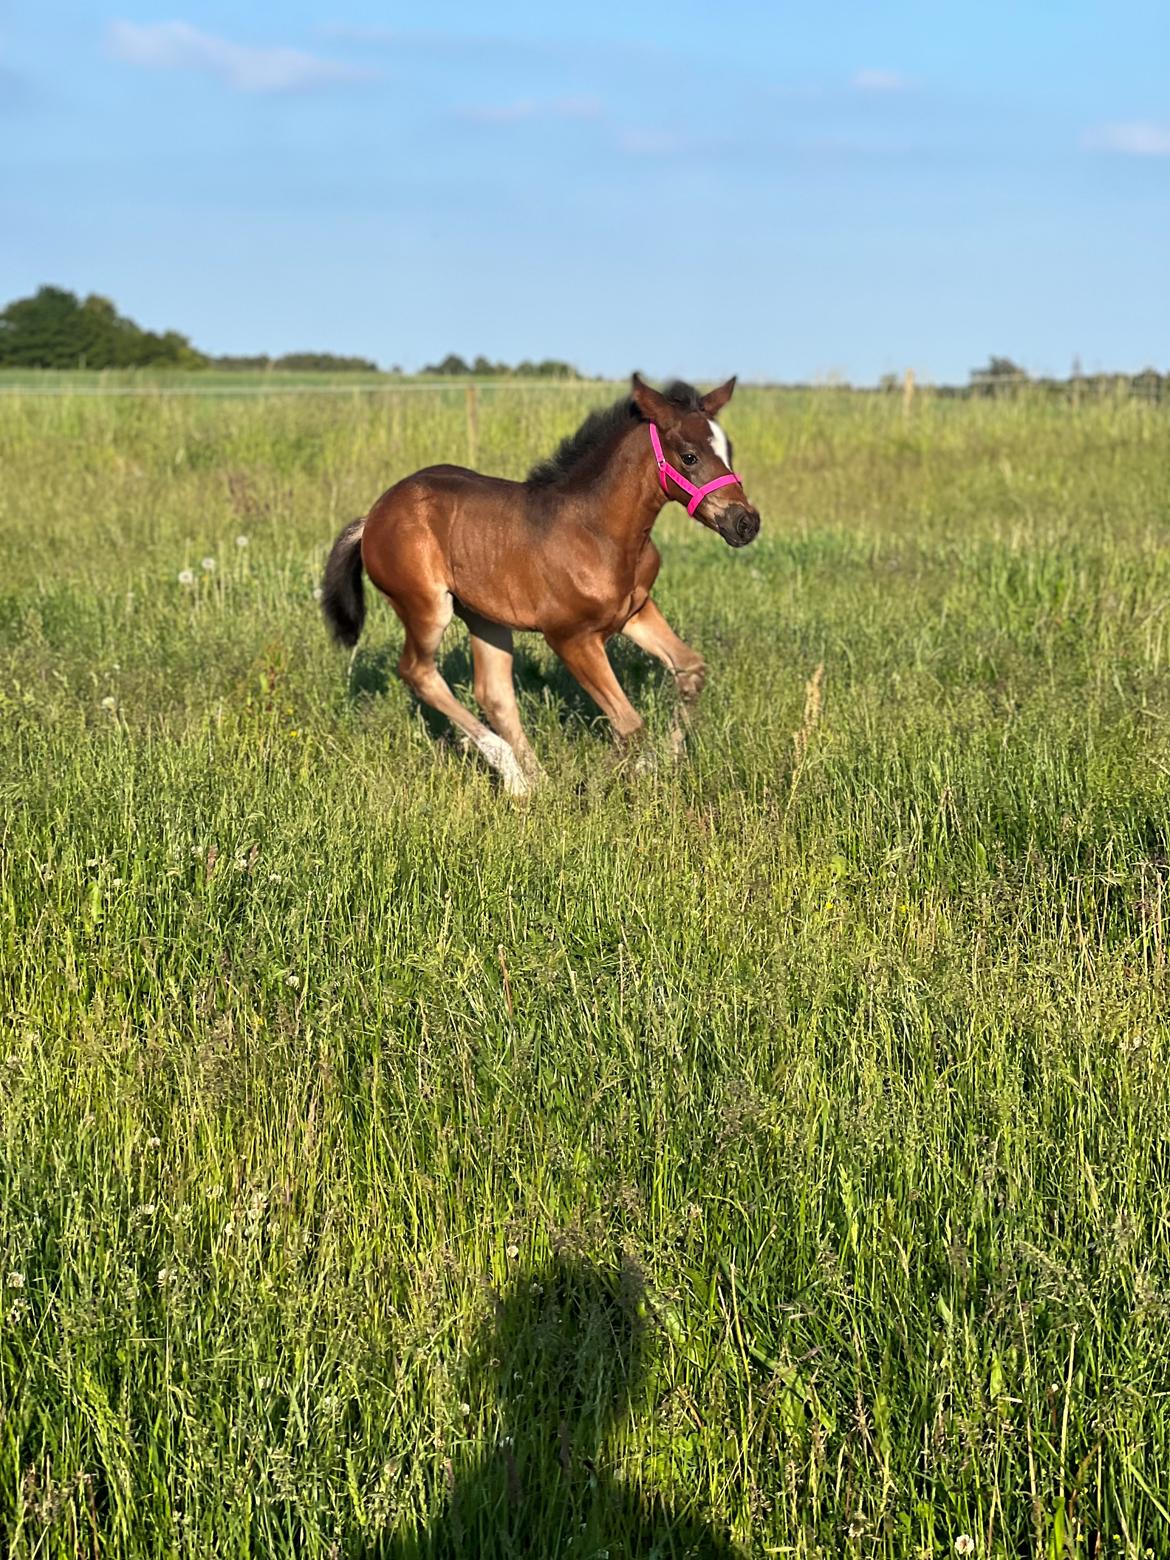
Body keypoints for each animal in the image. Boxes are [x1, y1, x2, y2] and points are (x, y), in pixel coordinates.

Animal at [320, 373, 760, 795]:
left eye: (729, 450)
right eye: (689, 456)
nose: (745, 522)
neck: (599, 531)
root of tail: (372, 518)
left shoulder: (635, 612)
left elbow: (691, 670)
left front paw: (666, 759)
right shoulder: (570, 637)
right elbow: (629, 724)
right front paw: (611, 781)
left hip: (484, 617)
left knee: (494, 693)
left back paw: (537, 782)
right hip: (425, 607)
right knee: (418, 672)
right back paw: (513, 776)